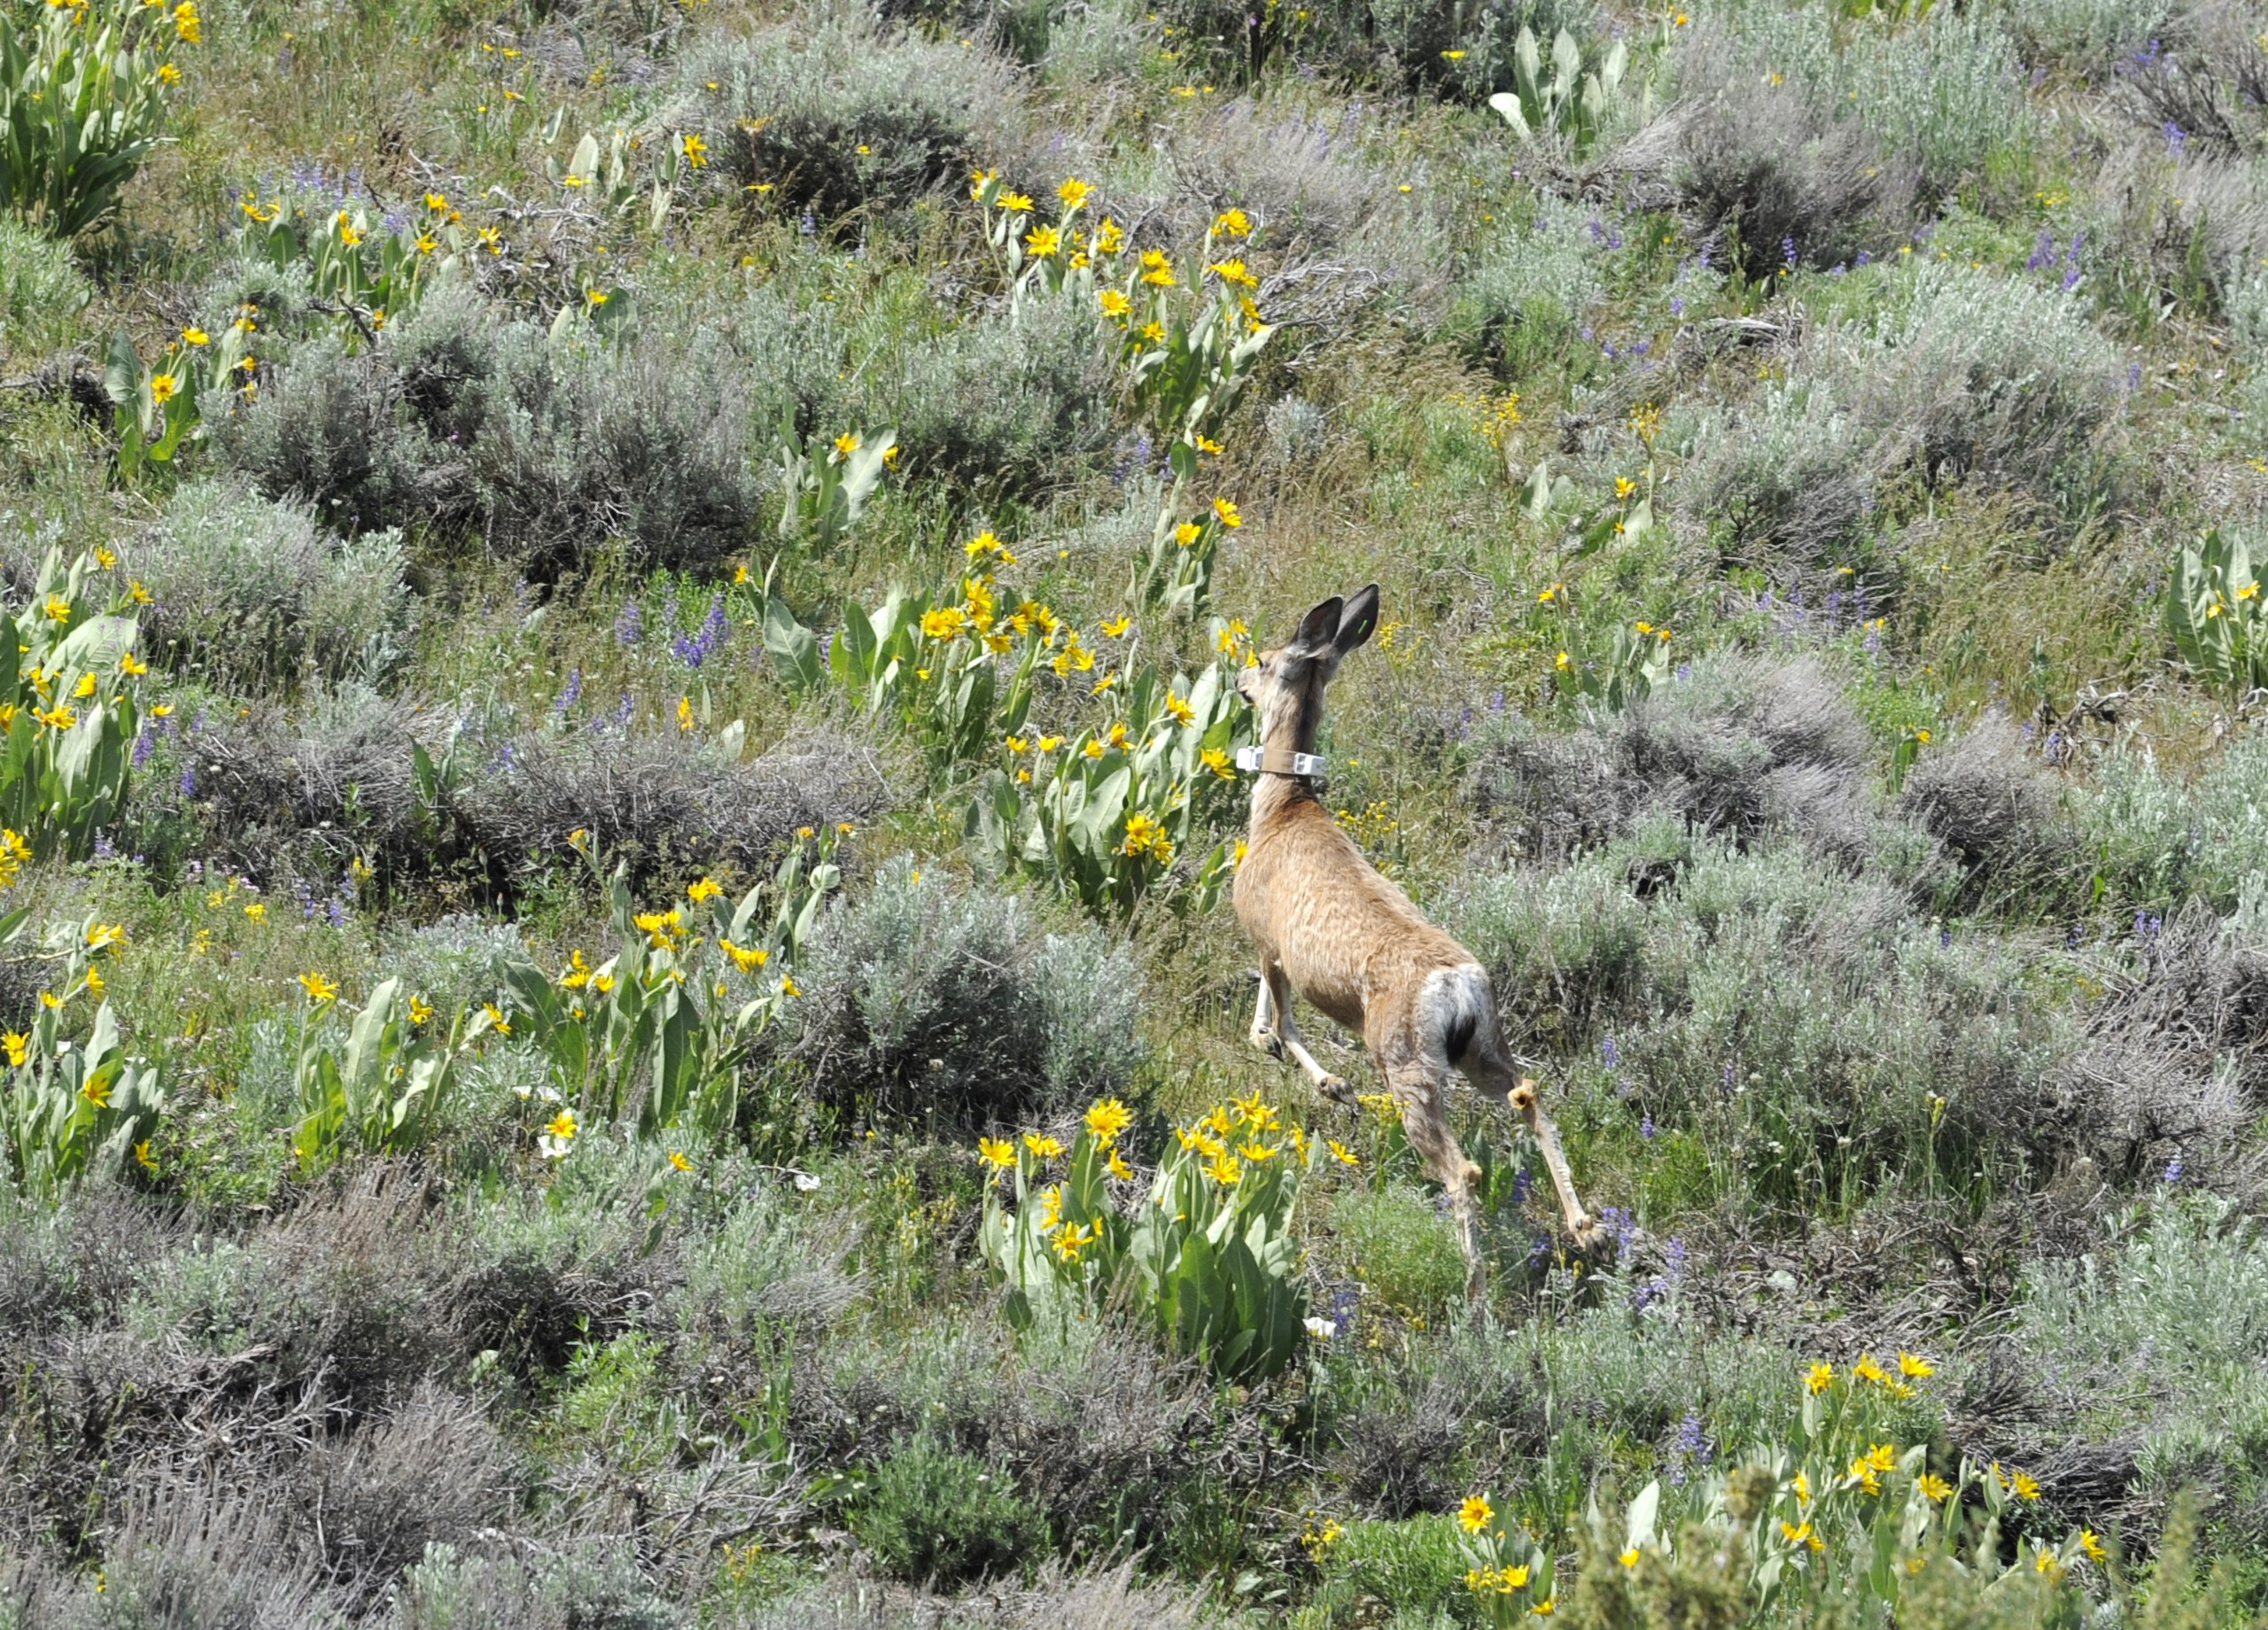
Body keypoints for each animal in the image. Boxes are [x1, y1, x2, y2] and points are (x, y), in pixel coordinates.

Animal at [1233, 585, 1605, 1287]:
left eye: (1264, 660)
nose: (1239, 680)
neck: (1282, 812)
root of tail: (1456, 987)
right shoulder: (1274, 948)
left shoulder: (1265, 932)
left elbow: (1284, 1020)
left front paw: (1327, 1081)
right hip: (1482, 1047)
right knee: (1532, 1099)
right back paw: (1585, 1228)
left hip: (1405, 1059)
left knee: (1463, 1169)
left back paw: (1473, 1291)